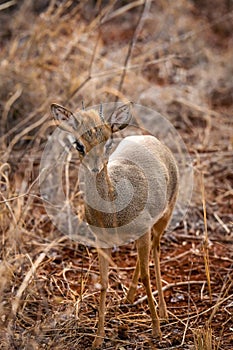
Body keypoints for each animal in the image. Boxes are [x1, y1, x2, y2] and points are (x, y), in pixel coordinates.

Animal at [50, 102, 178, 348]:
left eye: (108, 141)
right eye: (78, 144)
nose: (95, 167)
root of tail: (152, 139)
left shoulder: (144, 231)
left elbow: (147, 276)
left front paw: (157, 330)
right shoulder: (102, 241)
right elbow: (103, 283)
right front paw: (98, 338)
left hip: (163, 219)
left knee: (156, 252)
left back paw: (164, 313)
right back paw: (128, 298)